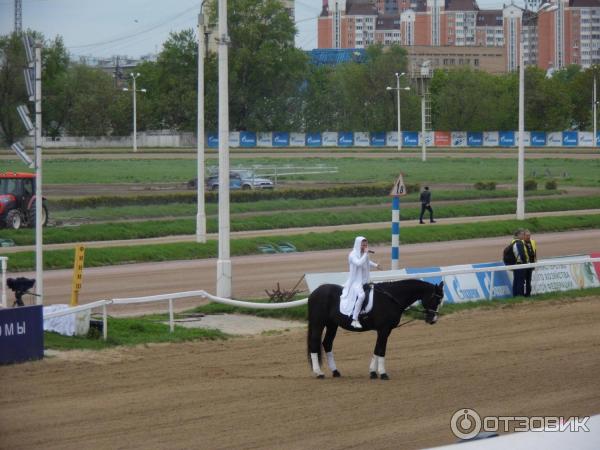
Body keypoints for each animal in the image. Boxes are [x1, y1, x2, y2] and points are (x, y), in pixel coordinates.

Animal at [308, 278, 442, 380]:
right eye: (436, 299)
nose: (433, 320)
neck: (391, 298)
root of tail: (314, 293)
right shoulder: (383, 329)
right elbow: (381, 350)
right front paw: (383, 374)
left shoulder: (385, 331)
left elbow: (377, 350)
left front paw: (373, 372)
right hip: (318, 324)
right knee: (314, 344)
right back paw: (319, 373)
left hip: (332, 325)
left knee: (327, 344)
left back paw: (335, 372)